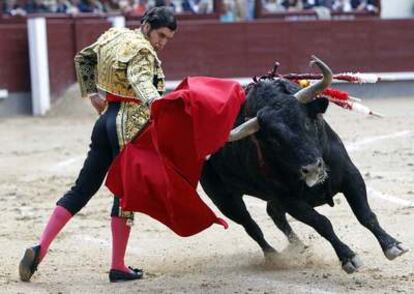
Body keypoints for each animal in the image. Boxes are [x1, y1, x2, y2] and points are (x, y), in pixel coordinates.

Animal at [202, 56, 410, 272]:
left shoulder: (350, 175)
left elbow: (365, 214)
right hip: (224, 198)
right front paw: (348, 257)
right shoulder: (289, 200)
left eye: (308, 123)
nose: (312, 169)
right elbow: (322, 223)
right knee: (251, 226)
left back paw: (299, 247)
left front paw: (392, 245)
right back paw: (274, 256)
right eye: (274, 140)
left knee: (274, 214)